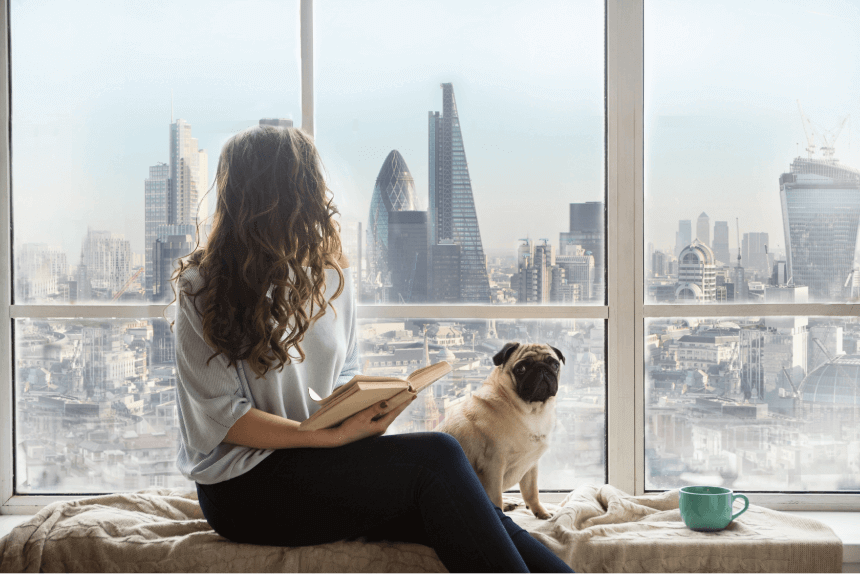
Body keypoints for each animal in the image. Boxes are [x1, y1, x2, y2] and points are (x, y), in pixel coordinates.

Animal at [434, 342, 560, 520]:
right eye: (521, 368)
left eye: (554, 365)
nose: (542, 368)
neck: (530, 412)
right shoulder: (493, 468)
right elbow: (496, 498)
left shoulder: (530, 465)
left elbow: (531, 492)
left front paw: (540, 512)